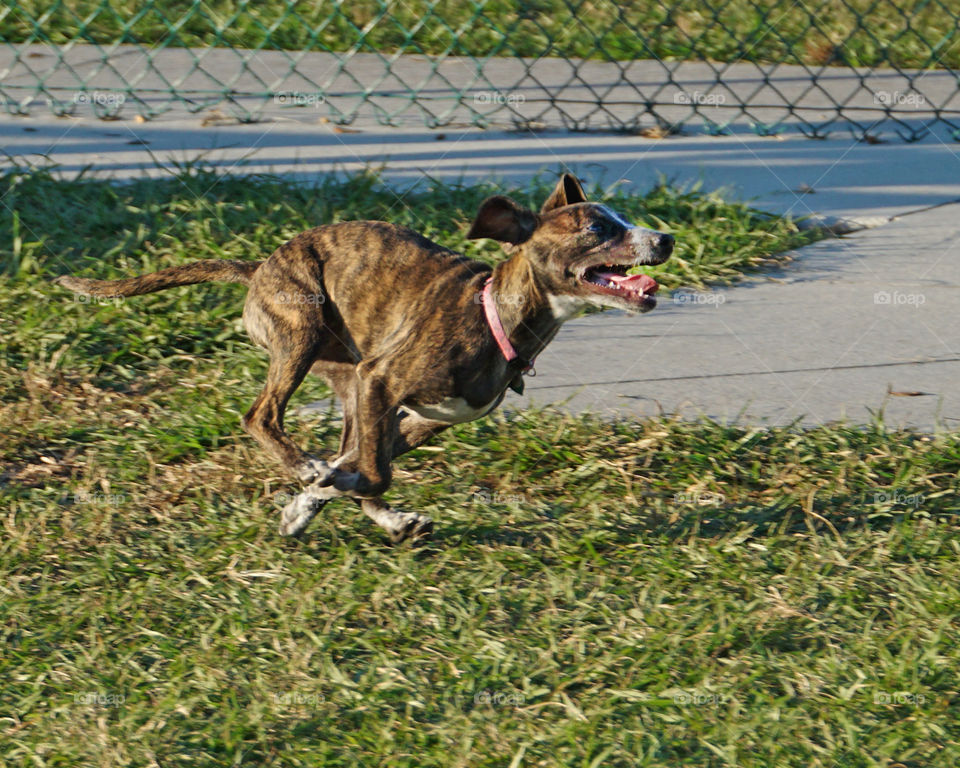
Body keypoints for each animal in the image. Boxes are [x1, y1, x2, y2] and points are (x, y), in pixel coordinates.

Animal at [58, 177, 676, 544]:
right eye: (598, 228)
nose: (666, 238)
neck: (494, 314)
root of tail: (259, 265)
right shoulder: (383, 381)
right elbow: (372, 471)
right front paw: (316, 488)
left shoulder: (415, 415)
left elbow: (367, 467)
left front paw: (311, 502)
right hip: (302, 333)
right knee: (262, 416)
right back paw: (308, 468)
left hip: (347, 380)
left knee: (344, 447)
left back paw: (365, 505)